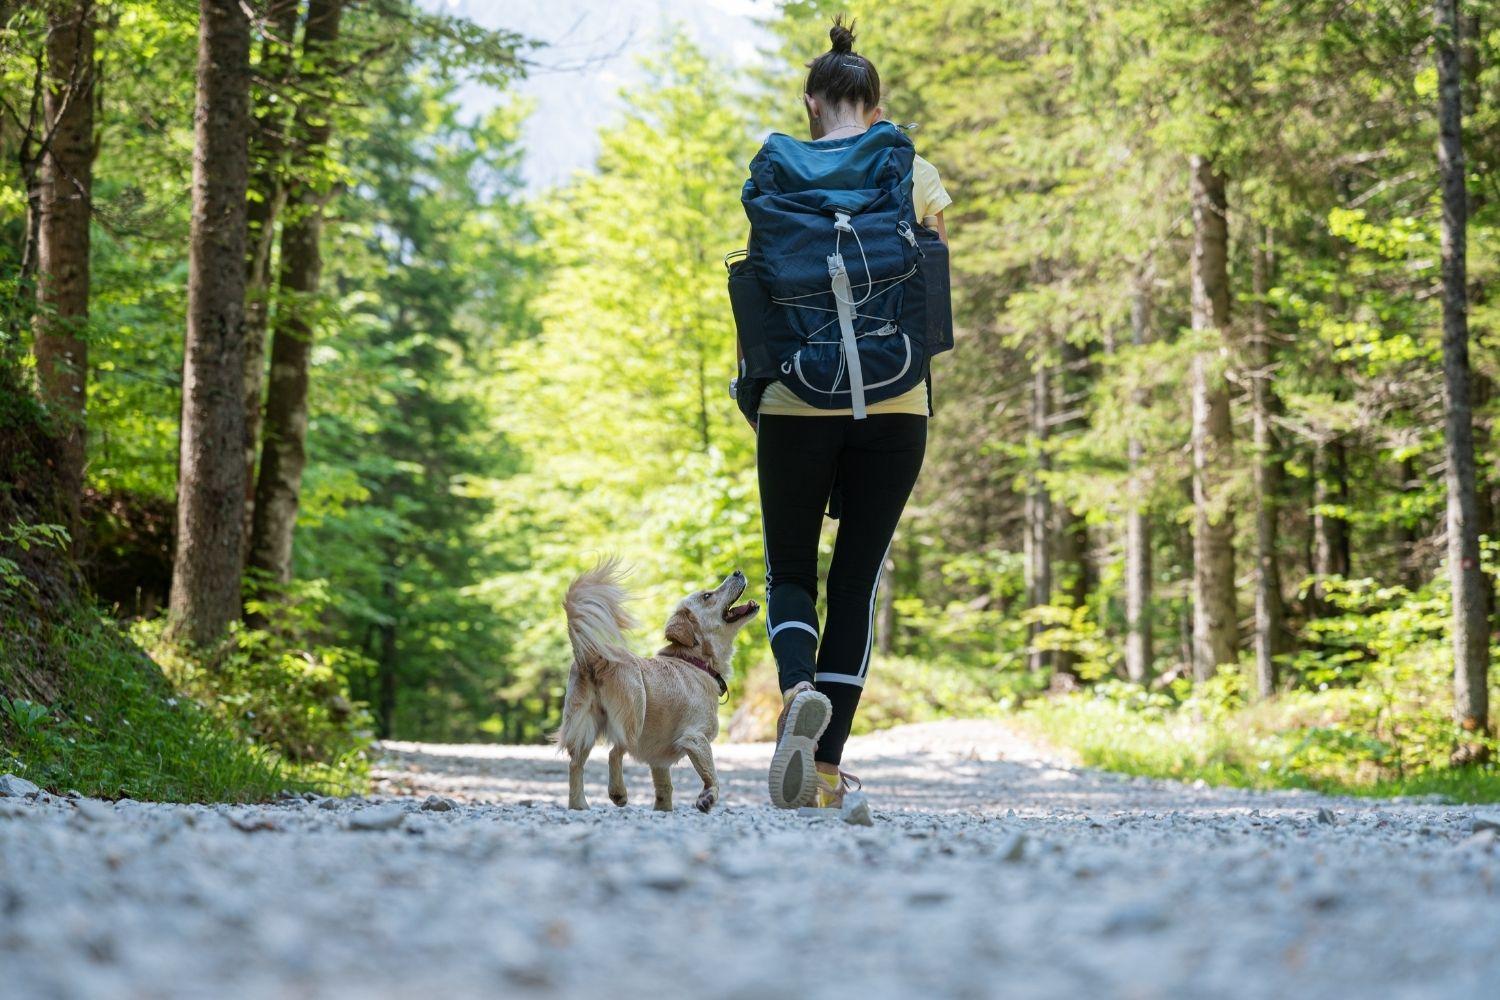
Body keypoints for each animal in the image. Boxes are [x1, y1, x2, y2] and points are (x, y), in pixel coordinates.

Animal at [558, 563, 756, 815]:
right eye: (707, 596)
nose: (738, 572)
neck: (695, 662)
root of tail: (592, 656)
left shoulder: (659, 761)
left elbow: (665, 787)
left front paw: (663, 810)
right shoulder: (696, 737)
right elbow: (712, 775)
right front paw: (707, 797)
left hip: (582, 725)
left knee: (575, 764)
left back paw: (579, 805)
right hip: (634, 713)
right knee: (615, 752)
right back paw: (618, 793)